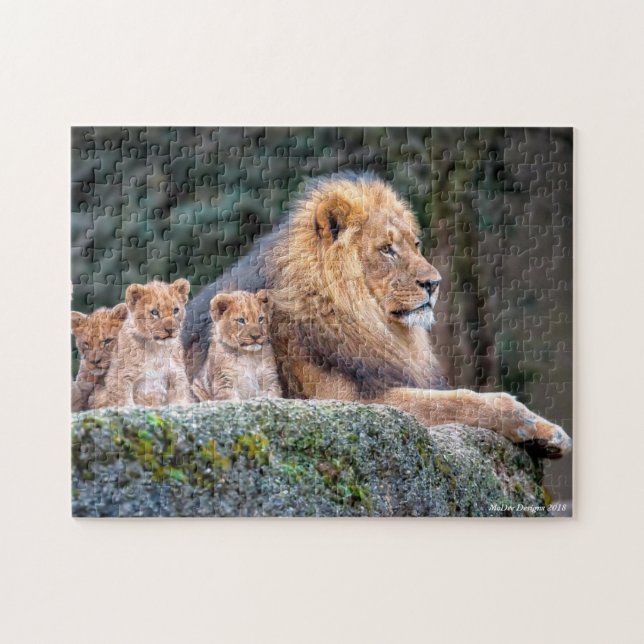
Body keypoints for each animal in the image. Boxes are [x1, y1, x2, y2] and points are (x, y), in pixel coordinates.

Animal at [99, 279, 193, 408]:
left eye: (176, 310)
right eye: (154, 312)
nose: (171, 329)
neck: (157, 349)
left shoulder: (176, 375)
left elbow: (181, 399)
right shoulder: (120, 377)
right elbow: (125, 401)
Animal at [183, 174, 572, 457]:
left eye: (416, 245)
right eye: (387, 250)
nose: (434, 283)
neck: (367, 321)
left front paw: (548, 433)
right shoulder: (347, 402)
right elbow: (456, 400)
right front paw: (525, 420)